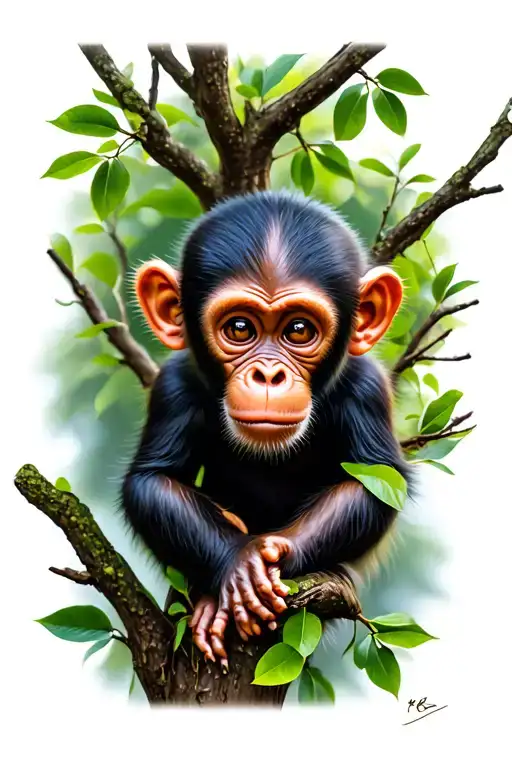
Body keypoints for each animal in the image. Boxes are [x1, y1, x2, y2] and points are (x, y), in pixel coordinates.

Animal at [122, 189, 411, 664]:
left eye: (299, 330)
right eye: (240, 328)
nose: (269, 375)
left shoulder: (367, 388)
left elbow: (375, 482)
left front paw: (274, 552)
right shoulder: (173, 386)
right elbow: (153, 480)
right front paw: (240, 560)